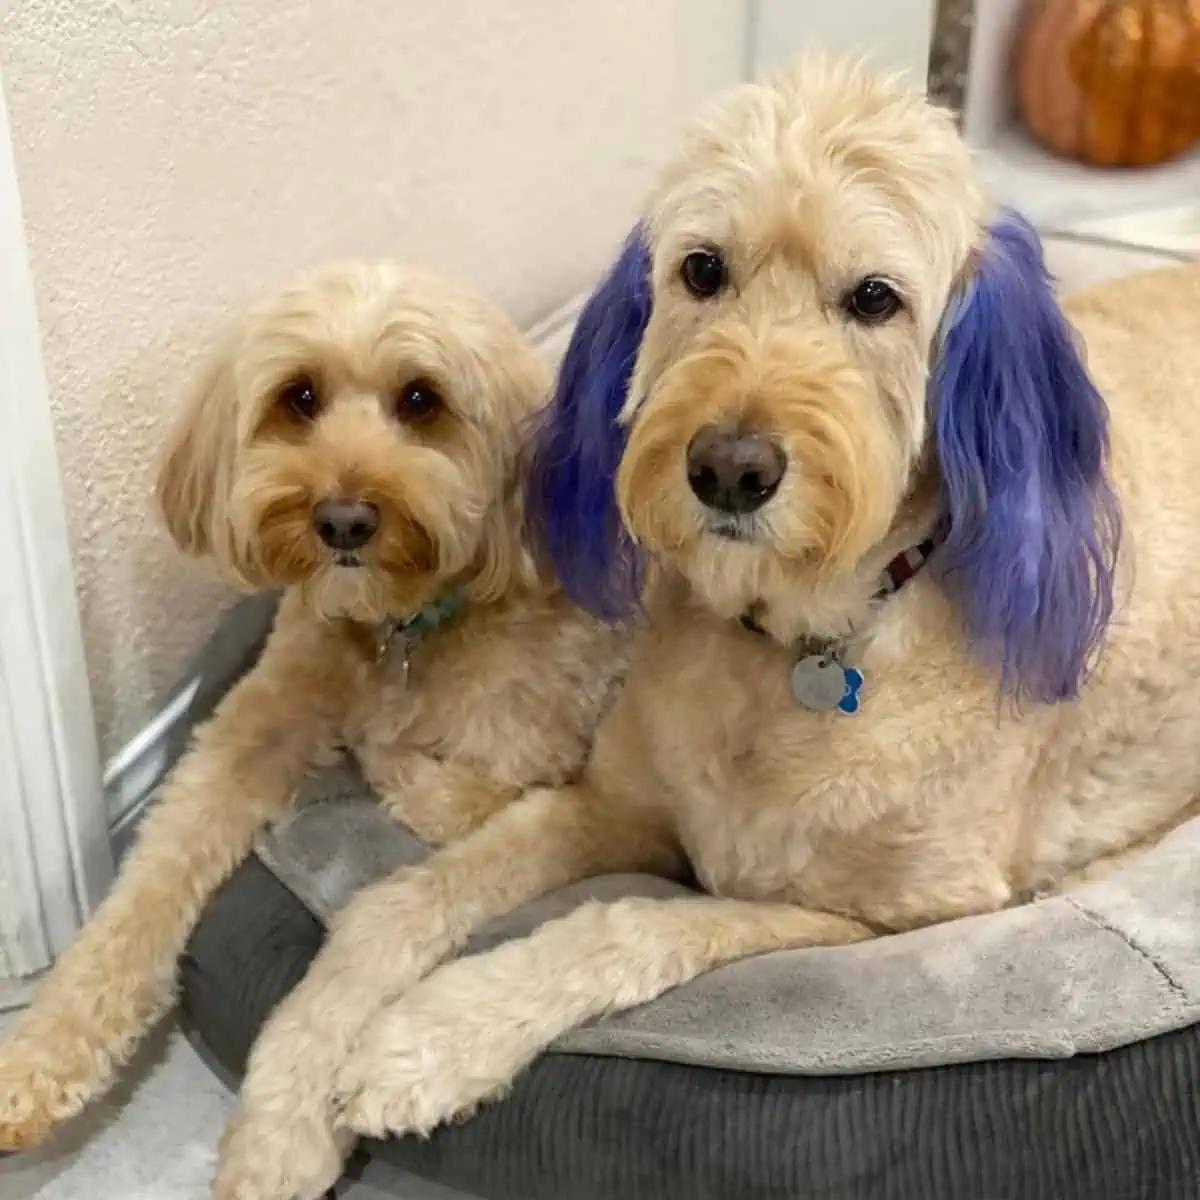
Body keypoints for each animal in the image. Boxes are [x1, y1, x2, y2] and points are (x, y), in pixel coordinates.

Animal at [0, 260, 633, 1190]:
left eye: (421, 399)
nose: (343, 519)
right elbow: (146, 884)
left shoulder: (534, 758)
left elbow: (431, 829)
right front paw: (40, 1058)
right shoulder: (249, 728)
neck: (400, 630)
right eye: (298, 396)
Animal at [213, 54, 1200, 1190]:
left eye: (876, 299)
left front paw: (432, 1039)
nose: (728, 468)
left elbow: (630, 922)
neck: (799, 644)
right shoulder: (609, 802)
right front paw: (287, 1102)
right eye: (701, 270)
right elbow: (403, 898)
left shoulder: (877, 917)